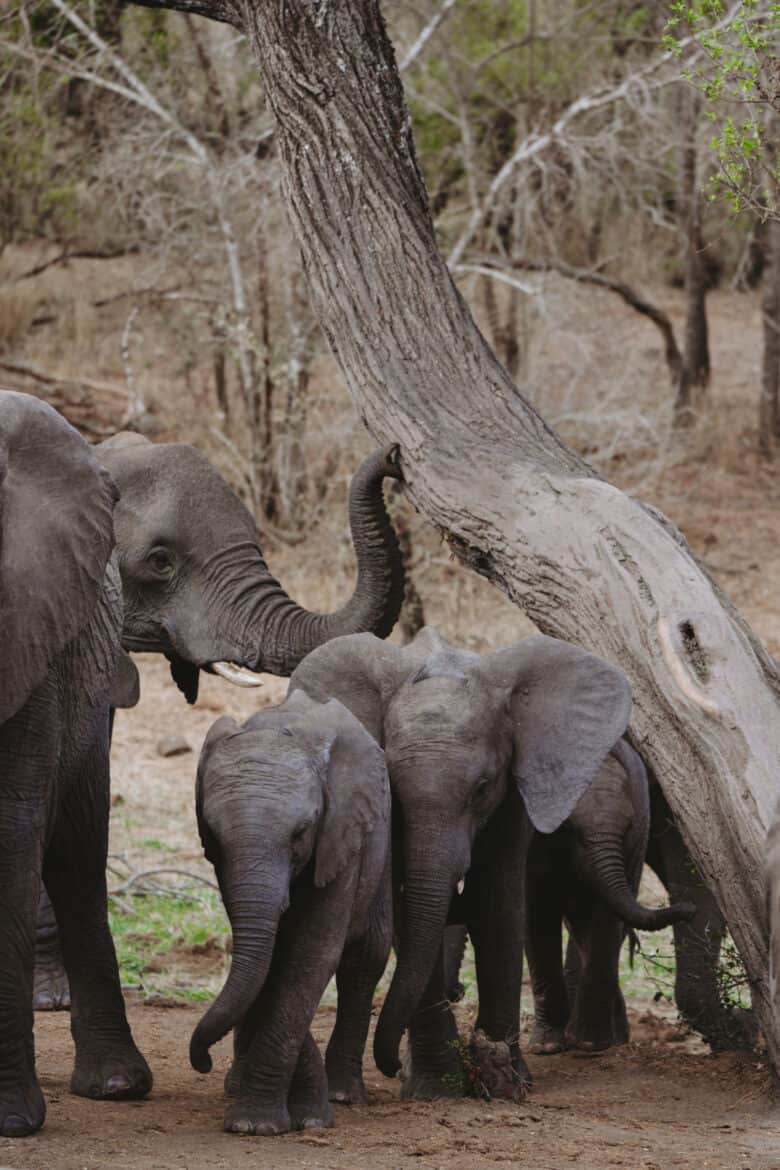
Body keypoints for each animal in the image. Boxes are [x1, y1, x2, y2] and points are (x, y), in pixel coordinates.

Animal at [192, 687, 392, 1137]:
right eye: (213, 836)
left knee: (365, 958)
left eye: (301, 832)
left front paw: (279, 1122)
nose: (202, 1060)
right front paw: (277, 1118)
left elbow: (310, 954)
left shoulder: (340, 833)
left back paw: (343, 1094)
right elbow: (268, 959)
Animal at [292, 627, 640, 1090]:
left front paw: (510, 1082)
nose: (387, 1065)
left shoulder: (512, 797)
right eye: (394, 787)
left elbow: (500, 903)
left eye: (482, 787)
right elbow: (408, 910)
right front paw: (435, 1086)